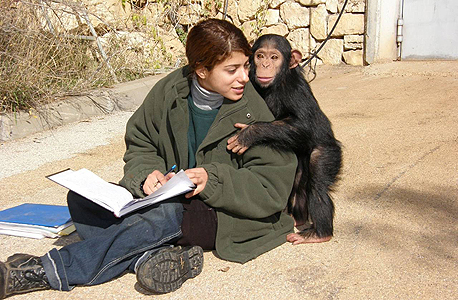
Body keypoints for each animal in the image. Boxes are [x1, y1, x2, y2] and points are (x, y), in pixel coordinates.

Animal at [227, 34, 342, 245]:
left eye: (274, 57)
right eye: (260, 55)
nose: (265, 64)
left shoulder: (294, 90)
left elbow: (304, 125)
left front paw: (249, 133)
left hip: (328, 151)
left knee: (318, 180)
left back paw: (319, 233)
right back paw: (298, 218)